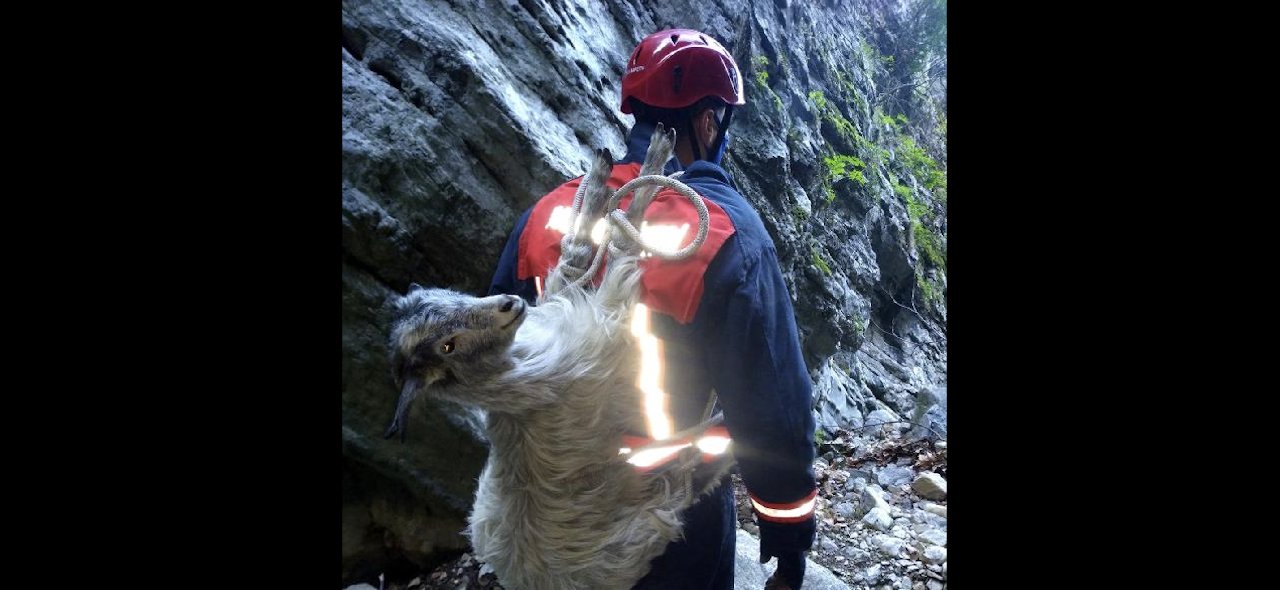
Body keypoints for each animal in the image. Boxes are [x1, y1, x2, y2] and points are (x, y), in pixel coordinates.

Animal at [381, 127, 732, 588]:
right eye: (447, 346)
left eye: (447, 296)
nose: (510, 304)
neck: (526, 375)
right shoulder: (607, 323)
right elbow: (623, 246)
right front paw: (654, 161)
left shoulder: (566, 302)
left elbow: (577, 254)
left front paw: (600, 181)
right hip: (649, 516)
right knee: (690, 477)